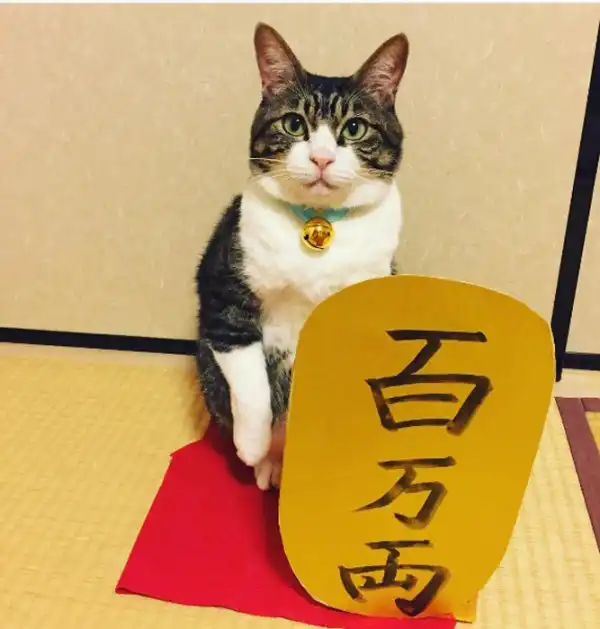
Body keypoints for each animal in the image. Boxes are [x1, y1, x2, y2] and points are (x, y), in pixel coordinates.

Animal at [195, 23, 409, 490]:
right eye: (294, 124)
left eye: (354, 129)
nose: (322, 158)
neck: (319, 224)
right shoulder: (223, 294)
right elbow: (250, 381)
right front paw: (252, 444)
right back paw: (270, 466)